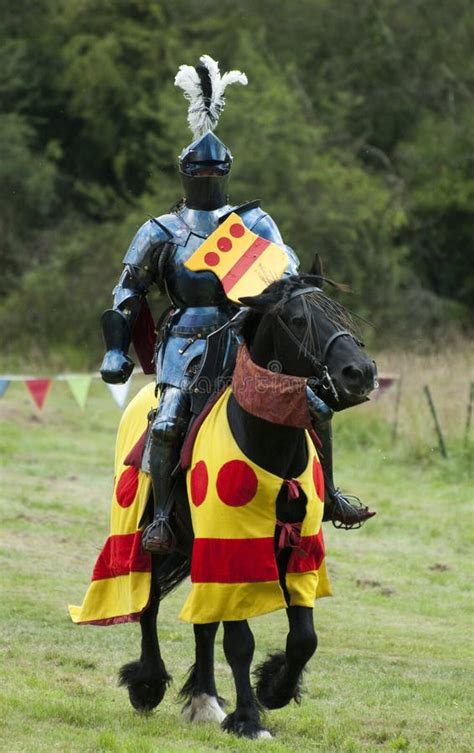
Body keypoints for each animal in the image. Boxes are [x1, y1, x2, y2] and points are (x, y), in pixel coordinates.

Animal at [118, 274, 378, 736]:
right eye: (298, 320)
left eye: (338, 312)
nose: (360, 373)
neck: (269, 442)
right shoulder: (233, 547)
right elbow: (240, 642)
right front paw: (249, 719)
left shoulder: (296, 549)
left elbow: (304, 639)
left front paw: (274, 689)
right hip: (157, 535)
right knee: (149, 603)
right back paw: (148, 684)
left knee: (203, 622)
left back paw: (204, 699)